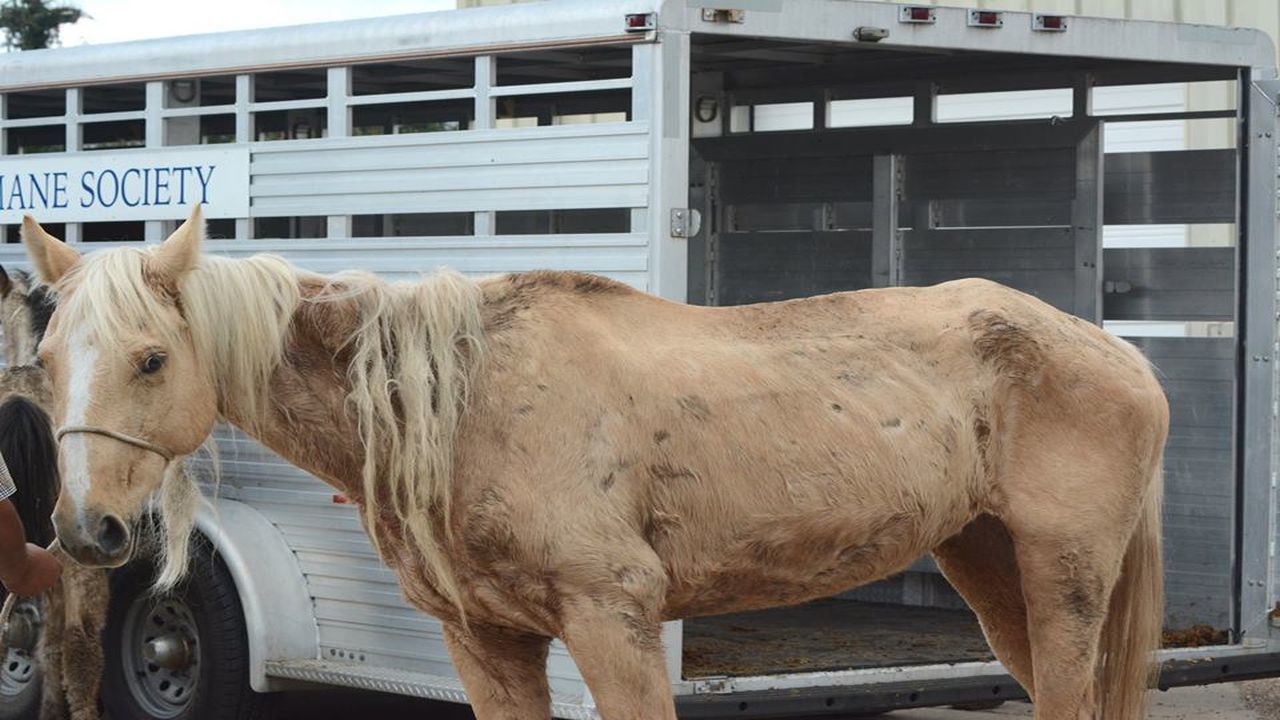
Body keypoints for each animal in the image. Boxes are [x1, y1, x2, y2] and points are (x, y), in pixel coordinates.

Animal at [19, 206, 1168, 720]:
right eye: (43, 359)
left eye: (152, 358)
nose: (87, 530)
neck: (464, 400)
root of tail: (1114, 353)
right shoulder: (486, 644)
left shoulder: (613, 622)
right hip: (991, 568)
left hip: (1064, 576)